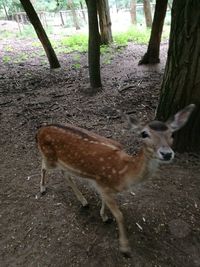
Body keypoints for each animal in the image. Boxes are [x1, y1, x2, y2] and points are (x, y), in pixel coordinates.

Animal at [36, 104, 195, 258]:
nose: (167, 153)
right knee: (43, 165)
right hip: (49, 157)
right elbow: (120, 215)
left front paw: (104, 217)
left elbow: (106, 203)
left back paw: (84, 201)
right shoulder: (104, 186)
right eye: (144, 134)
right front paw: (125, 249)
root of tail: (40, 130)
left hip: (63, 163)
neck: (123, 174)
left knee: (65, 174)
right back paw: (43, 189)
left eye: (172, 134)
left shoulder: (104, 187)